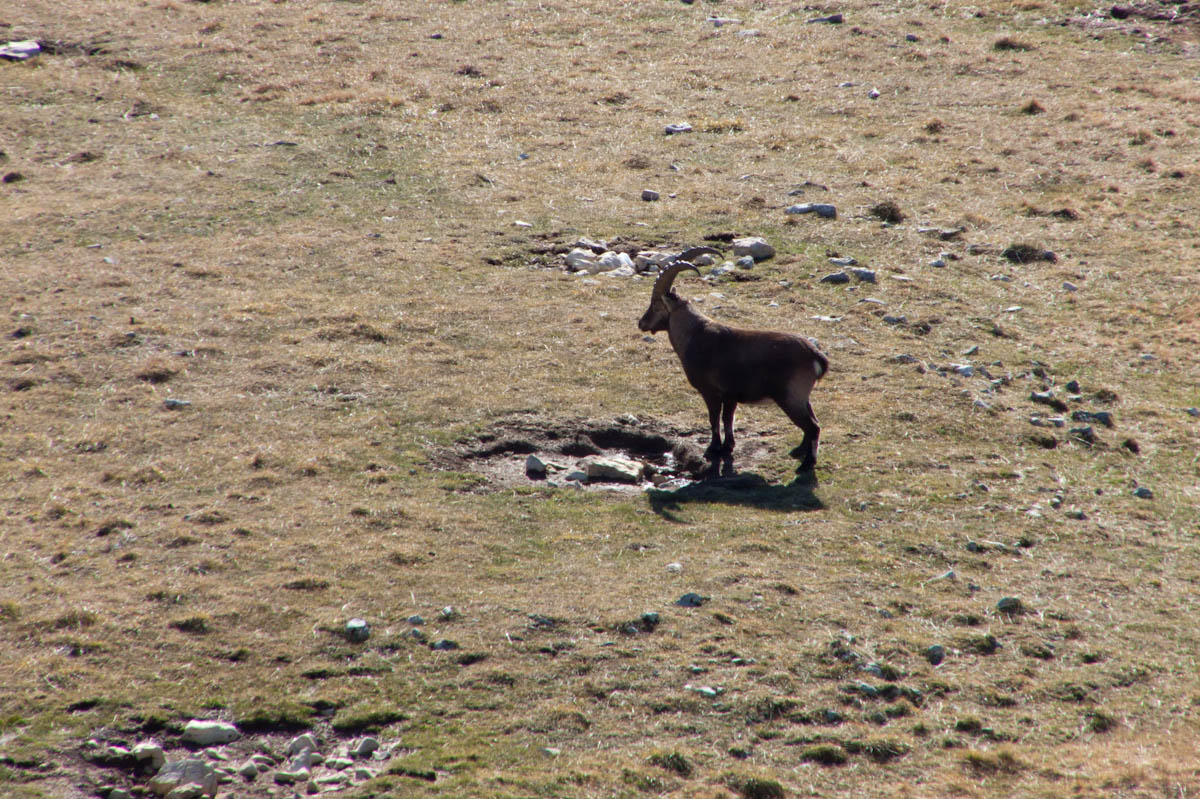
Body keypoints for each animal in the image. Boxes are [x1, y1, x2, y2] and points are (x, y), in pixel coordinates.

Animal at [638, 259, 829, 472]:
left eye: (656, 304)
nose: (642, 323)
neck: (693, 335)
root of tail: (815, 355)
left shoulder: (710, 392)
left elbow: (714, 418)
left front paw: (713, 448)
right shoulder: (731, 396)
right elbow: (727, 418)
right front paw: (728, 446)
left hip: (790, 398)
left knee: (813, 426)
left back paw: (807, 463)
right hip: (801, 397)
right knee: (812, 421)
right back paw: (799, 450)